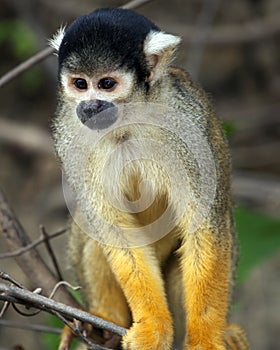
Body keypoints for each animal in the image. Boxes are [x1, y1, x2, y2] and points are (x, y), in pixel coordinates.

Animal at [50, 7, 247, 350]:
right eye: (79, 83)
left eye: (106, 83)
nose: (89, 106)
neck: (128, 119)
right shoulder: (69, 131)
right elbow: (114, 229)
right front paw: (153, 324)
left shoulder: (185, 126)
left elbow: (203, 224)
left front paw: (206, 338)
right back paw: (106, 320)